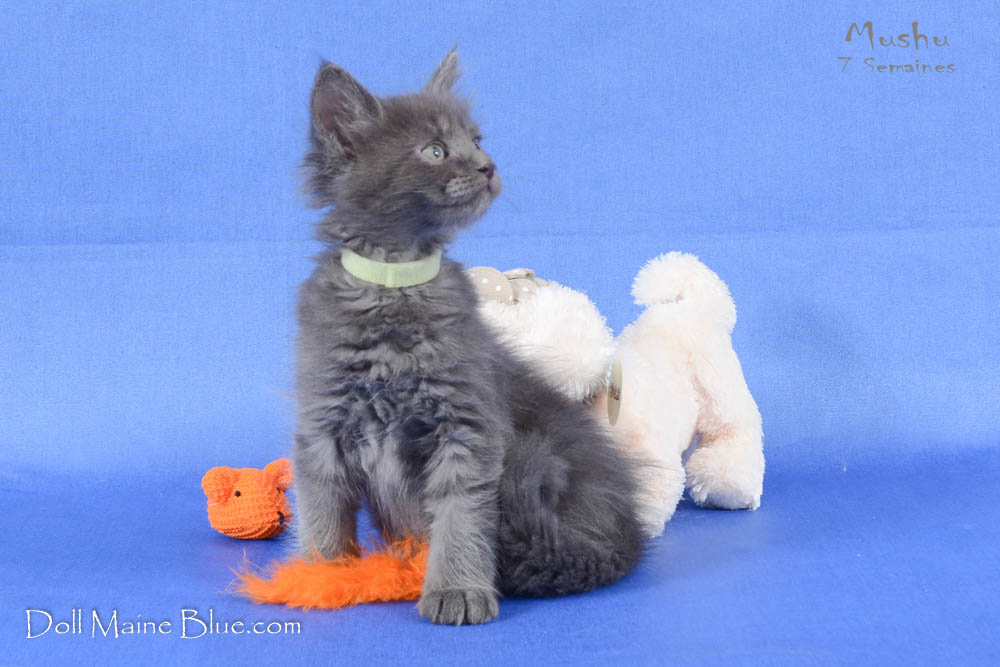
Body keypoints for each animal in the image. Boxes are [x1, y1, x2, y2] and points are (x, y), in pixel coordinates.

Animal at [292, 50, 644, 625]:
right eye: (435, 150)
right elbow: (321, 504)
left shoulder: (467, 423)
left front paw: (456, 588)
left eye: (476, 141)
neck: (395, 284)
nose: (487, 166)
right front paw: (318, 577)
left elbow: (461, 511)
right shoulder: (323, 419)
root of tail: (625, 540)